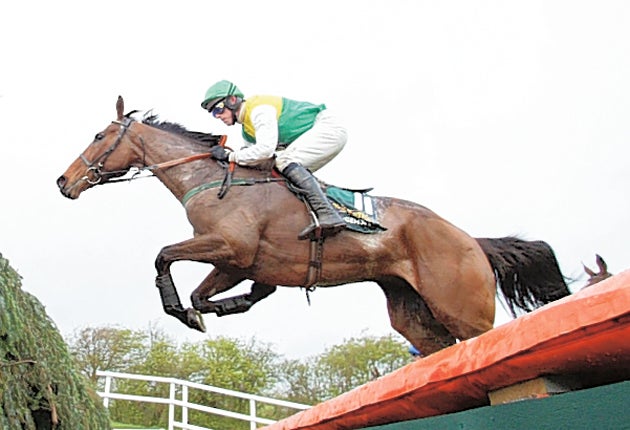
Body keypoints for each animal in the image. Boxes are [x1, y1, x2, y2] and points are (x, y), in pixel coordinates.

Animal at [55, 97, 572, 356]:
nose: (63, 181)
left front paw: (183, 308)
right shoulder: (236, 261)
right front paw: (218, 307)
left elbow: (163, 255)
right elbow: (205, 295)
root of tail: (470, 239)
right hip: (414, 315)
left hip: (465, 311)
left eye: (99, 135)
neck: (210, 180)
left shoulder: (229, 247)